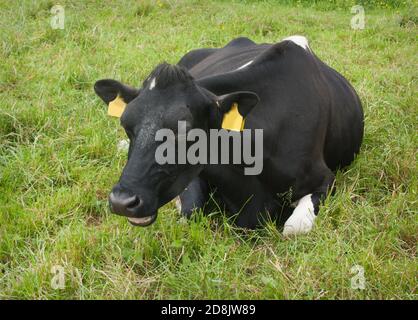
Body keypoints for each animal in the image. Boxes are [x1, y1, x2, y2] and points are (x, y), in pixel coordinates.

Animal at [94, 35, 362, 235]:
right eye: (126, 125)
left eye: (187, 132)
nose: (122, 201)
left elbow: (293, 229)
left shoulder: (325, 179)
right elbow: (190, 211)